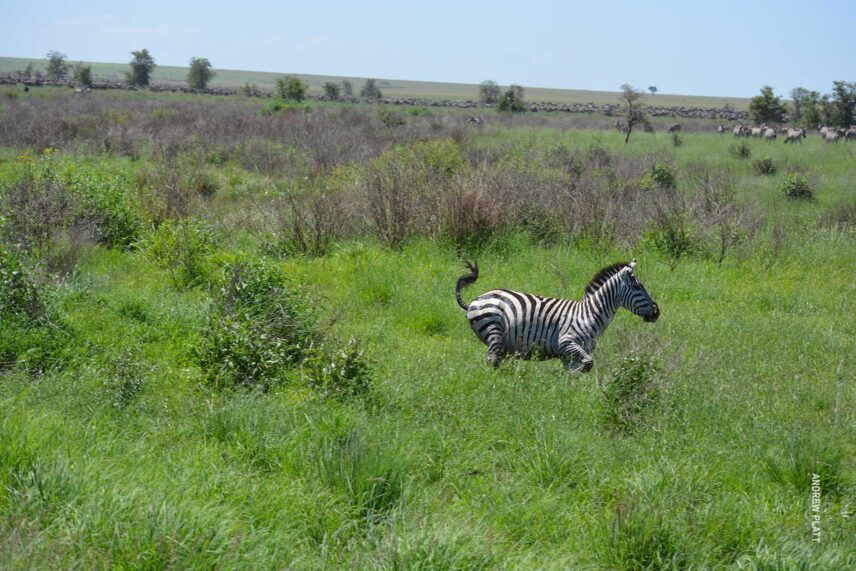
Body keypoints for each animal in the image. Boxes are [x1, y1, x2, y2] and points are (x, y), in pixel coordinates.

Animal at [455, 260, 660, 373]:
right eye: (637, 287)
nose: (657, 312)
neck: (590, 314)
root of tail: (476, 299)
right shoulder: (567, 343)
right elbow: (588, 364)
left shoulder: (569, 355)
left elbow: (577, 372)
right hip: (494, 329)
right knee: (491, 360)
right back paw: (495, 385)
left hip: (500, 341)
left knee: (496, 360)